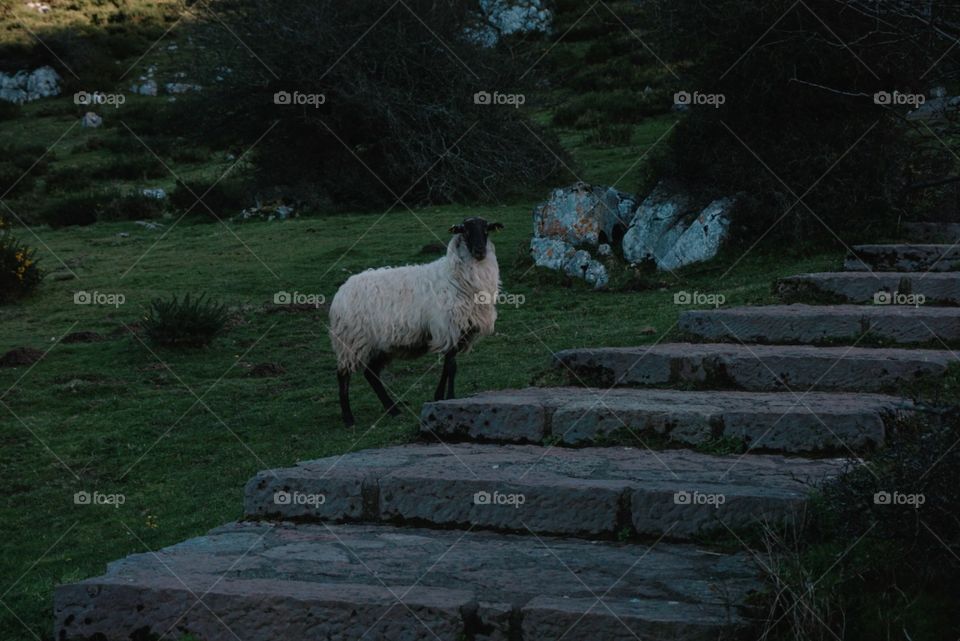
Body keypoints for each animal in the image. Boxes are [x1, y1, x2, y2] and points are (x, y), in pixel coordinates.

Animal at [330, 215, 506, 424]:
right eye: (465, 231)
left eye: (486, 229)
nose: (480, 251)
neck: (455, 276)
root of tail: (342, 291)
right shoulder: (448, 328)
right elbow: (451, 366)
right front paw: (448, 397)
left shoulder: (460, 331)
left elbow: (448, 367)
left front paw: (442, 397)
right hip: (350, 340)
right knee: (343, 375)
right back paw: (348, 418)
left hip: (378, 344)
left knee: (371, 374)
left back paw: (393, 410)